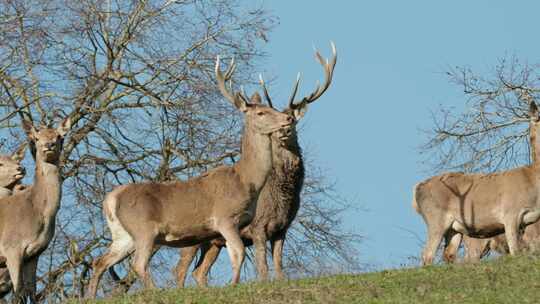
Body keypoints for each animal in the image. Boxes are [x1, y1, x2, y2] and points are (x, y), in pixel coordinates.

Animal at [0, 118, 71, 302]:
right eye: (36, 138)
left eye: (60, 137)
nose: (49, 145)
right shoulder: (11, 248)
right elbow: (19, 291)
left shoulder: (35, 253)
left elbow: (31, 291)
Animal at [86, 54, 294, 296]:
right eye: (261, 113)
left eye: (272, 107)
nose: (288, 119)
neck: (246, 181)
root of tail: (111, 199)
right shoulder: (225, 219)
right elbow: (239, 253)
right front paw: (234, 286)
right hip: (143, 228)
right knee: (138, 264)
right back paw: (156, 292)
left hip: (122, 234)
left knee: (100, 261)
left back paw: (90, 297)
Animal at [176, 42, 338, 288]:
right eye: (270, 118)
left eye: (293, 119)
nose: (284, 129)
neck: (283, 197)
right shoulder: (258, 228)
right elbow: (263, 269)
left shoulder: (282, 229)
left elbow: (279, 267)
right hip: (191, 235)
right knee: (180, 270)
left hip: (213, 241)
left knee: (199, 272)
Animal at [414, 101, 540, 264]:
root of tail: (417, 189)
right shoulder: (510, 214)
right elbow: (515, 251)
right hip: (436, 218)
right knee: (427, 255)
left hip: (454, 229)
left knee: (449, 254)